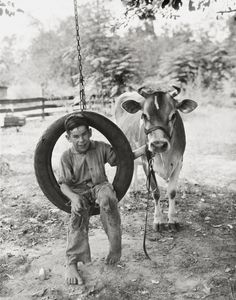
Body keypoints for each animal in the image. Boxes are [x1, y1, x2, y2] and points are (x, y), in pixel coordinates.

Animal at [114, 85, 197, 231]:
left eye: (173, 115)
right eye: (143, 115)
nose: (158, 144)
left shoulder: (178, 162)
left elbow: (172, 192)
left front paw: (172, 220)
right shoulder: (147, 162)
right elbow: (156, 192)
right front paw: (158, 220)